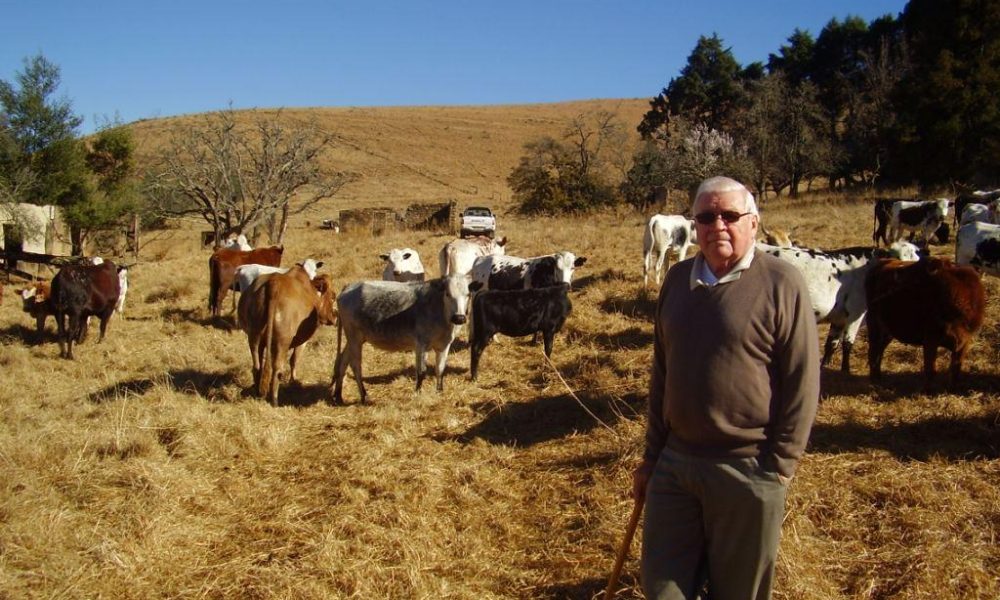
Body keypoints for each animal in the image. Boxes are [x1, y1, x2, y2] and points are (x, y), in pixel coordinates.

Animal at [236, 264, 338, 406]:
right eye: (333, 296)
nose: (335, 317)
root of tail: (274, 283)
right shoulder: (302, 341)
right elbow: (294, 359)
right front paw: (294, 381)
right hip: (282, 342)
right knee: (277, 369)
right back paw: (274, 401)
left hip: (254, 337)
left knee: (257, 366)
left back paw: (258, 393)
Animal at [332, 276, 480, 406]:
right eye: (448, 294)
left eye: (468, 294)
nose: (459, 318)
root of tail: (350, 286)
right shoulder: (421, 345)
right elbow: (421, 372)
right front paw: (418, 394)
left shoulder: (444, 345)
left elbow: (440, 369)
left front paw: (439, 392)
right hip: (354, 338)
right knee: (355, 366)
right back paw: (364, 396)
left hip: (355, 339)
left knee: (343, 361)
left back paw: (338, 396)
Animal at [752, 240, 916, 372]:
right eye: (897, 258)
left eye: (914, 262)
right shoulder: (856, 313)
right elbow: (847, 343)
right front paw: (845, 371)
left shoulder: (839, 318)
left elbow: (831, 344)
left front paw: (824, 366)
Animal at [864, 256, 988, 390]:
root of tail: (883, 262)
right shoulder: (930, 340)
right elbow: (930, 369)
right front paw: (927, 390)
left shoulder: (964, 343)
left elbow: (955, 368)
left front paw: (952, 388)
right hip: (875, 327)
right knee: (873, 352)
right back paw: (874, 382)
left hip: (887, 332)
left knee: (879, 352)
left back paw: (878, 380)